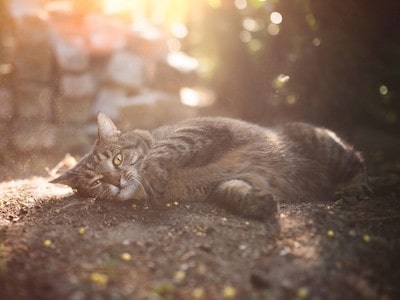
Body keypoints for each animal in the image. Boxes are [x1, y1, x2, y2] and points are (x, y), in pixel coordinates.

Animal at [48, 112, 368, 220]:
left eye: (117, 159)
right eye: (96, 182)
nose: (115, 182)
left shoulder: (202, 128)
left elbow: (160, 152)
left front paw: (152, 174)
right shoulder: (228, 183)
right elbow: (234, 191)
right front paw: (258, 204)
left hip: (333, 151)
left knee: (360, 163)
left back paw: (354, 189)